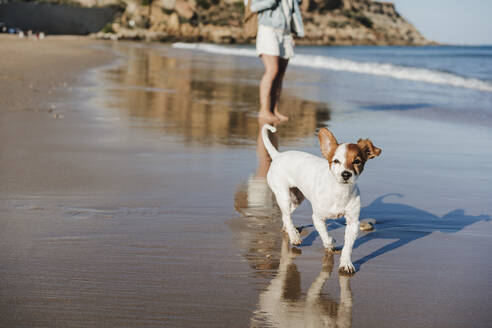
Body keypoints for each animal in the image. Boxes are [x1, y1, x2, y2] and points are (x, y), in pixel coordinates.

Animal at [262, 124, 380, 272]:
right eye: (336, 161)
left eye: (357, 161)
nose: (346, 174)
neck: (339, 192)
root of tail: (278, 155)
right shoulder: (317, 218)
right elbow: (326, 236)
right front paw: (330, 243)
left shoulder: (353, 223)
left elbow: (347, 247)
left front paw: (346, 263)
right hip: (283, 195)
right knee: (287, 216)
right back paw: (294, 236)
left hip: (296, 199)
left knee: (286, 215)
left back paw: (290, 230)